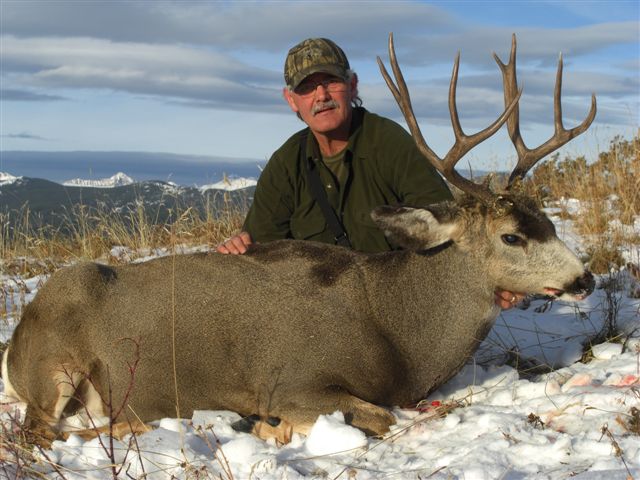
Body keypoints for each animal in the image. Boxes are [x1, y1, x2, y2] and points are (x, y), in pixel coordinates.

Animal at [2, 35, 596, 444]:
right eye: (512, 236)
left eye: (548, 220)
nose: (584, 278)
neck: (396, 333)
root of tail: (15, 342)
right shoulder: (292, 381)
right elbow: (375, 415)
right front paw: (268, 427)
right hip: (52, 367)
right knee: (41, 430)